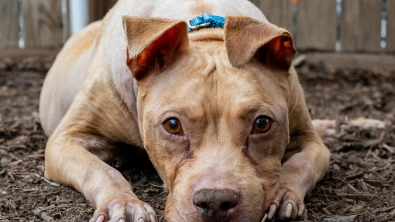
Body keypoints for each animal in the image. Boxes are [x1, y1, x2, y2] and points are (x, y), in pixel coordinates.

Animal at [39, 0, 332, 221]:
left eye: (262, 124)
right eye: (172, 125)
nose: (216, 201)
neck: (205, 33)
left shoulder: (310, 140)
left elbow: (301, 163)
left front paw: (284, 194)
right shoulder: (64, 140)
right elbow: (99, 170)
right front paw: (122, 204)